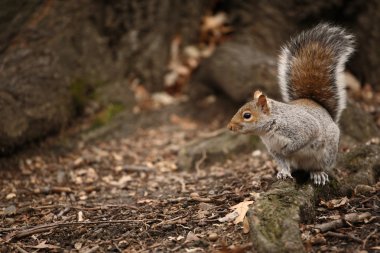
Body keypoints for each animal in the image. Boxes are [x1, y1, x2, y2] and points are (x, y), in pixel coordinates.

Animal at [227, 23, 354, 185]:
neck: (270, 128)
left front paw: (287, 150)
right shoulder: (273, 149)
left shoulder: (303, 128)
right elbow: (282, 161)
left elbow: (299, 141)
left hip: (327, 153)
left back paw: (318, 173)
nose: (229, 127)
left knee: (319, 166)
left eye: (247, 115)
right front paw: (283, 172)